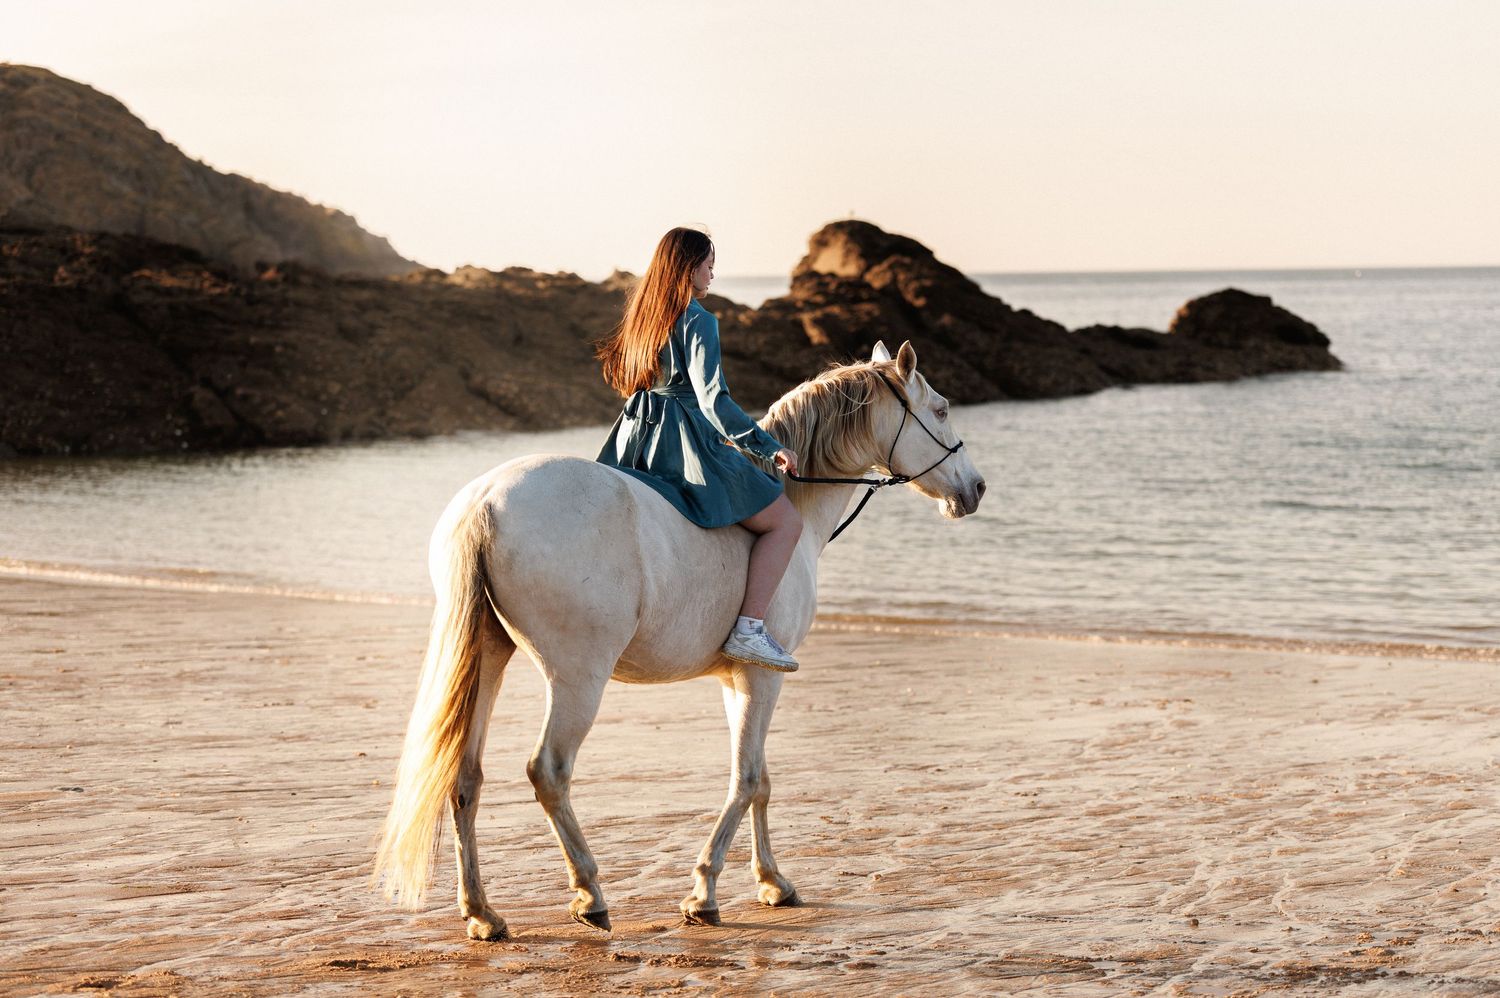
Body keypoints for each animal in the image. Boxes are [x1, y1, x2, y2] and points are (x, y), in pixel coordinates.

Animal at [373, 340, 986, 939]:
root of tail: (487, 503)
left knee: (465, 777)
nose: (976, 488)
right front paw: (704, 892)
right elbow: (746, 779)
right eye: (941, 409)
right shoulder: (764, 678)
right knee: (548, 771)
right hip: (578, 678)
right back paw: (589, 894)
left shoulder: (737, 680)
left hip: (488, 663)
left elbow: (760, 779)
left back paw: (482, 912)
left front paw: (773, 882)